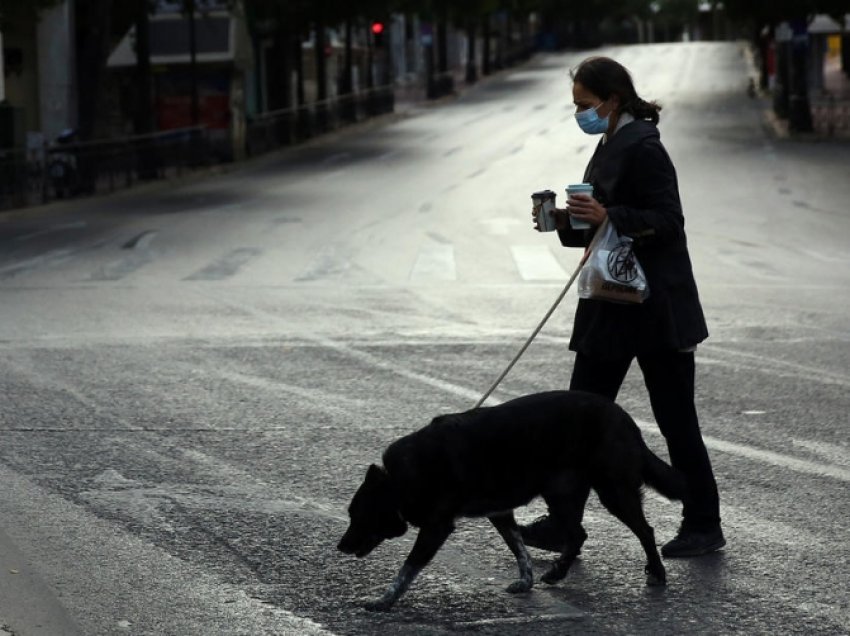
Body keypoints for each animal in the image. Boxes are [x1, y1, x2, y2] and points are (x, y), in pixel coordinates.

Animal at [334, 390, 684, 608]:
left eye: (358, 516)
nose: (340, 546)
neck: (398, 479)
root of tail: (625, 418)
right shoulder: (500, 512)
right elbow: (519, 549)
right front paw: (525, 582)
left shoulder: (437, 526)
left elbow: (407, 569)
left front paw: (384, 600)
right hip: (560, 493)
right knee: (577, 535)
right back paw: (557, 572)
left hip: (612, 490)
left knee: (644, 530)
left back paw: (657, 572)